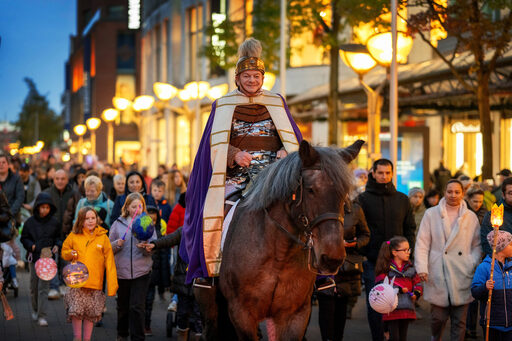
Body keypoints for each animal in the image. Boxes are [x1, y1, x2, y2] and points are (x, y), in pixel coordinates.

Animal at [212, 139, 364, 338]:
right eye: (310, 190)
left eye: (344, 192)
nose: (332, 258)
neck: (279, 253)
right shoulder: (241, 314)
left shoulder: (295, 314)